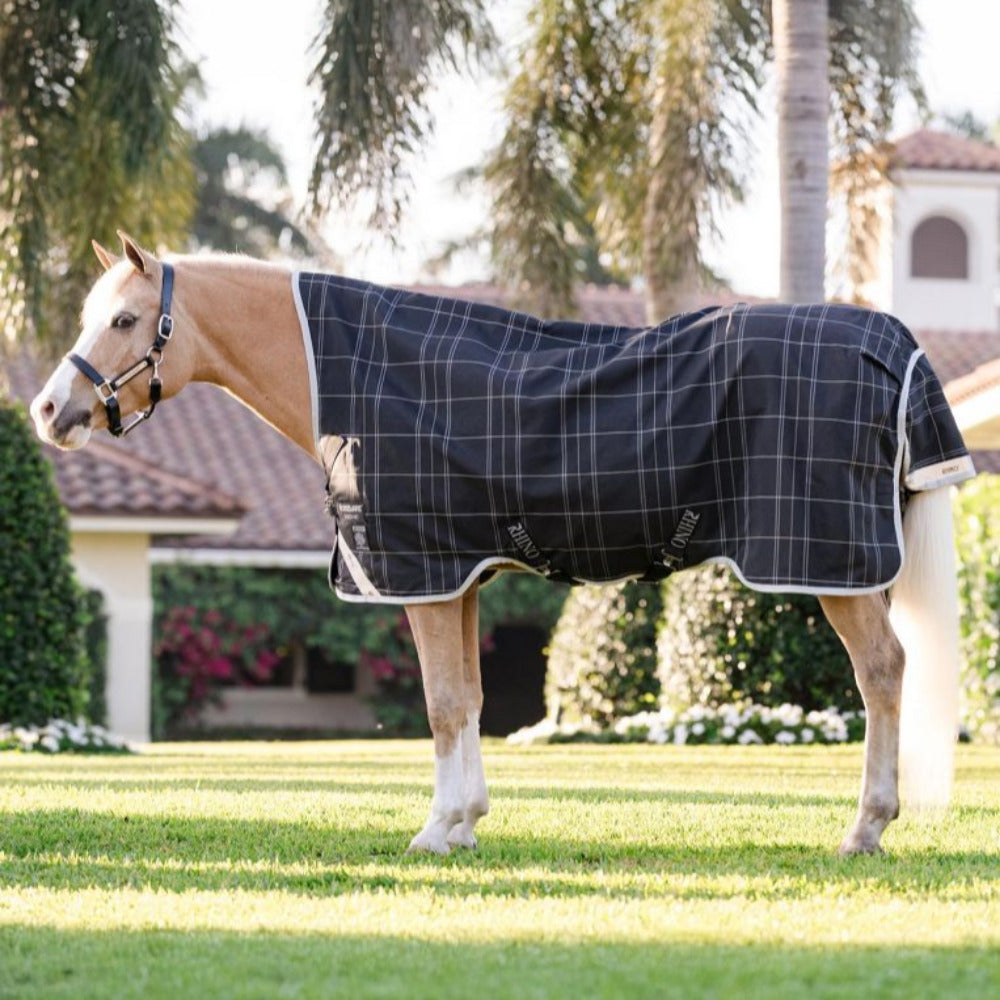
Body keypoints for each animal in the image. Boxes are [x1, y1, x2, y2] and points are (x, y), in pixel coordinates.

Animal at [30, 232, 974, 857]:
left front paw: (436, 831)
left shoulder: (419, 574)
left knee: (882, 670)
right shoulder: (464, 577)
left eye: (125, 319)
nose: (48, 411)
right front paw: (465, 822)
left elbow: (443, 704)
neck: (356, 376)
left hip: (831, 563)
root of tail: (891, 342)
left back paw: (865, 829)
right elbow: (472, 698)